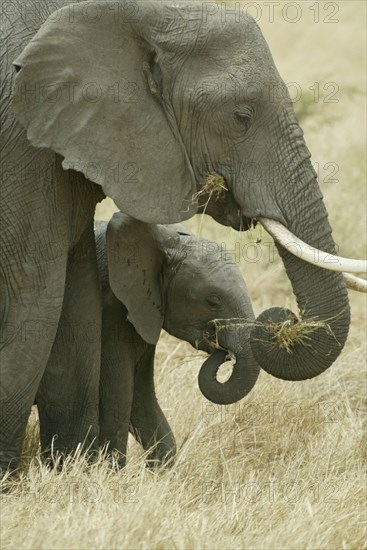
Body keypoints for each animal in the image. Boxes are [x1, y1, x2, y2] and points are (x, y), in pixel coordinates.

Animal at [95, 213, 262, 468]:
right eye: (213, 301)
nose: (222, 350)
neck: (168, 243)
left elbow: (141, 396)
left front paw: (158, 470)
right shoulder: (111, 312)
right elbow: (118, 395)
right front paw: (110, 472)